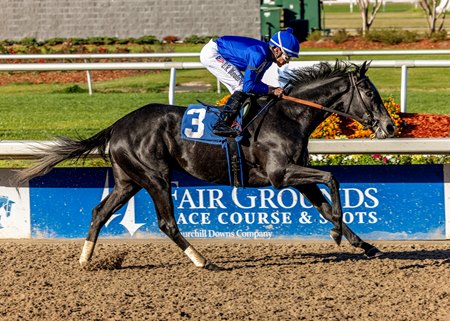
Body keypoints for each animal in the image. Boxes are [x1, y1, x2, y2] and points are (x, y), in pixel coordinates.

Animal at [14, 60, 394, 270]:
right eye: (370, 94)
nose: (389, 127)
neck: (289, 115)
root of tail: (119, 124)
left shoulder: (296, 177)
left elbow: (327, 205)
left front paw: (363, 244)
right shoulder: (280, 174)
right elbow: (332, 178)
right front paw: (339, 236)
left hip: (128, 180)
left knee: (99, 212)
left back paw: (85, 260)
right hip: (155, 176)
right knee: (167, 222)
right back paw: (203, 261)